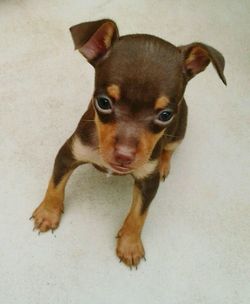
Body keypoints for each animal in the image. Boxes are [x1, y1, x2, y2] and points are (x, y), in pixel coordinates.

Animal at [31, 19, 227, 268]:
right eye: (103, 102)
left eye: (165, 115)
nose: (124, 155)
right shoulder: (68, 153)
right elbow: (55, 185)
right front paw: (48, 213)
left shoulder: (148, 181)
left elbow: (139, 215)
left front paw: (130, 244)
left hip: (179, 133)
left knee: (169, 150)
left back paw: (164, 164)